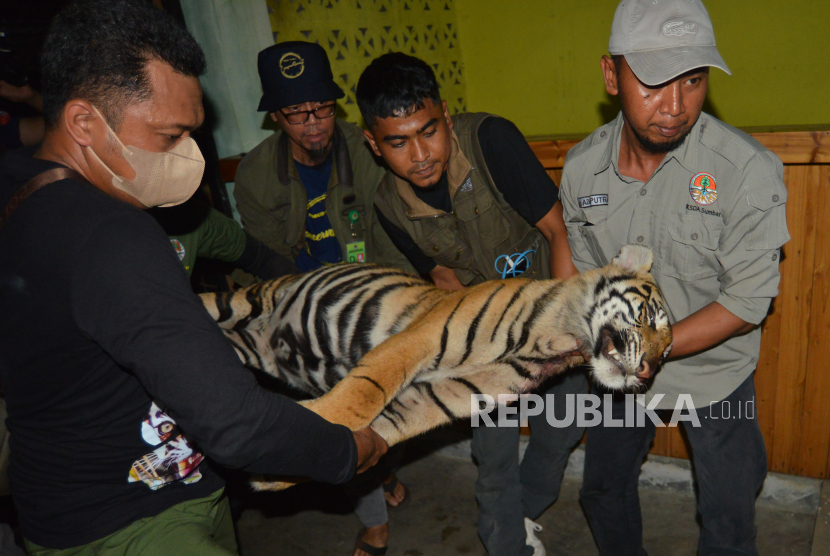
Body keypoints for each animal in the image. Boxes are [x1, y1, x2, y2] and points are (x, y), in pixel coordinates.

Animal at [202, 245, 676, 488]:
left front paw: (275, 474)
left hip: (247, 346)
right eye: (652, 318)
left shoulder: (448, 392)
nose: (649, 370)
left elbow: (389, 425)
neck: (556, 341)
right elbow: (367, 391)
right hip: (244, 300)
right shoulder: (417, 340)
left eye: (667, 352)